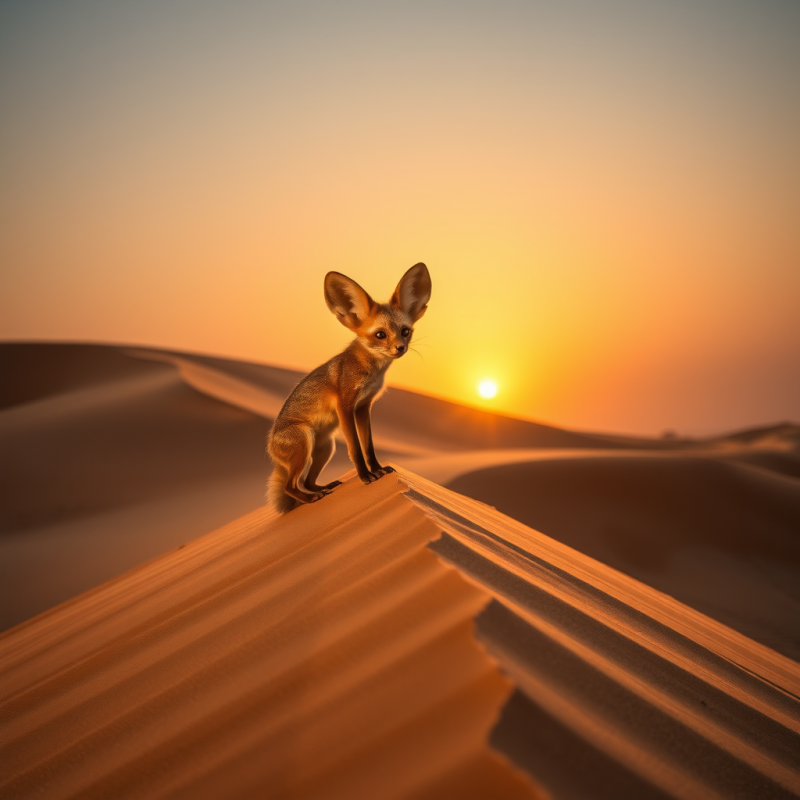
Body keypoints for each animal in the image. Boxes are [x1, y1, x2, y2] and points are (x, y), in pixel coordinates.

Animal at [267, 262, 432, 514]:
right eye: (380, 335)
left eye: (405, 331)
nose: (400, 348)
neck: (370, 370)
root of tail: (271, 447)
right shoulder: (345, 406)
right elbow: (355, 449)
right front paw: (365, 477)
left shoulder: (363, 407)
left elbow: (368, 447)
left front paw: (378, 470)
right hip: (304, 447)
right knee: (289, 487)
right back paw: (311, 499)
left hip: (325, 450)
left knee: (307, 482)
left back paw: (323, 488)